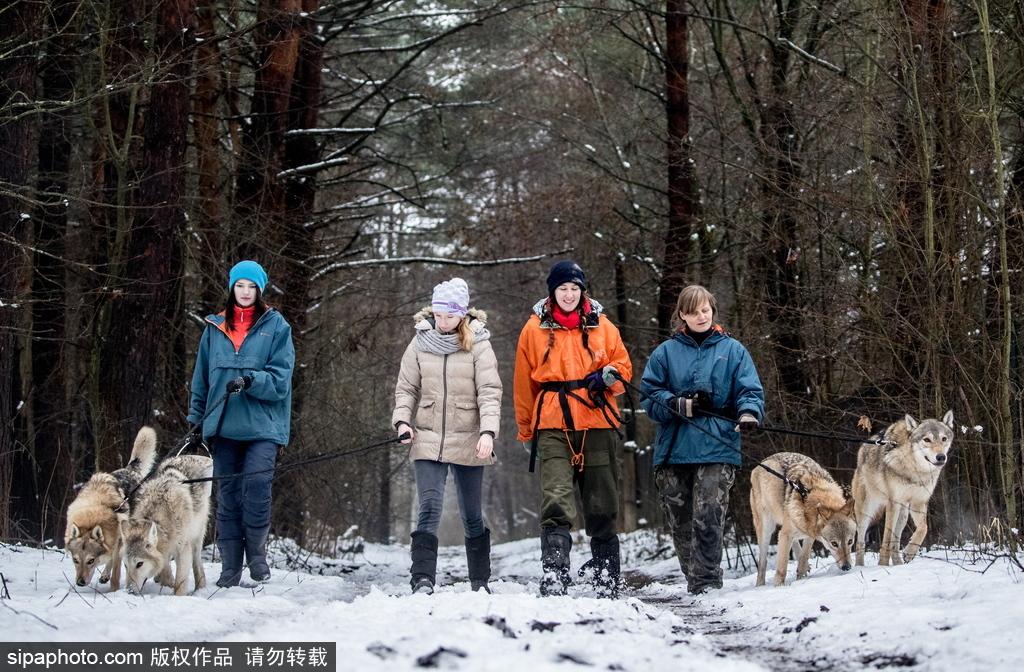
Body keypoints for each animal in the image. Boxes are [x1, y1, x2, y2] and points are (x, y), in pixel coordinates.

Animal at [65, 428, 156, 590]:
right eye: (75, 560)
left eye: (91, 561)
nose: (80, 583)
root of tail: (129, 469)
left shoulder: (118, 544)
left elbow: (116, 574)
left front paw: (114, 591)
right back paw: (104, 576)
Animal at [120, 454, 212, 594]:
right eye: (125, 565)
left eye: (139, 564)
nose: (129, 591)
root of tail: (193, 455)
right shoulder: (165, 549)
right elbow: (165, 568)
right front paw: (166, 581)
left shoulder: (183, 549)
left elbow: (180, 583)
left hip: (196, 537)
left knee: (197, 563)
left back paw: (200, 588)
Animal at [749, 450, 860, 590]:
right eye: (834, 543)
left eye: (850, 541)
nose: (847, 567)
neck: (807, 494)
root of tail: (761, 463)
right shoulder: (786, 534)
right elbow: (782, 567)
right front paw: (779, 586)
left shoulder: (810, 534)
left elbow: (804, 557)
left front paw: (801, 577)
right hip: (766, 530)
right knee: (762, 563)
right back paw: (760, 585)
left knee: (796, 547)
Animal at [851, 411, 954, 565]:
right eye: (927, 440)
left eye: (943, 439)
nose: (941, 457)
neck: (914, 469)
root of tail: (862, 449)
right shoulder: (893, 503)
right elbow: (886, 539)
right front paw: (882, 564)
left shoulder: (919, 502)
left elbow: (923, 528)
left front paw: (910, 553)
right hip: (866, 512)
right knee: (861, 541)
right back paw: (860, 566)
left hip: (903, 514)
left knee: (896, 541)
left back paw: (898, 563)